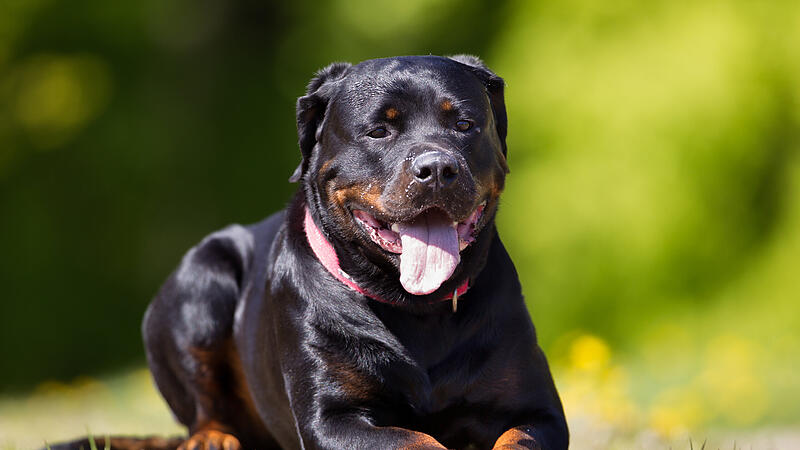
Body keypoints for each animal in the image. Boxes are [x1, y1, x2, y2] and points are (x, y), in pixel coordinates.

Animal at [144, 54, 568, 448]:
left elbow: (518, 438)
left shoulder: (537, 410)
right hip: (202, 283)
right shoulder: (332, 418)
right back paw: (213, 437)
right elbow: (413, 439)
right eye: (379, 131)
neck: (417, 309)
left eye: (464, 125)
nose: (437, 168)